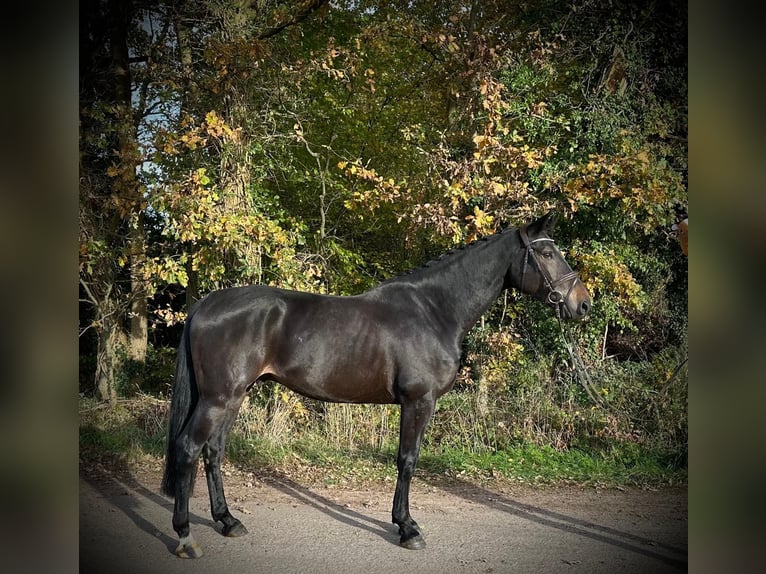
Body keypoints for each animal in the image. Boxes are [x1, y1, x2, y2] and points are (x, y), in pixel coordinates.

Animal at [161, 211, 591, 558]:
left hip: (234, 397)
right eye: (547, 254)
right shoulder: (419, 401)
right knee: (188, 449)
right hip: (219, 398)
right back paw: (185, 537)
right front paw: (407, 528)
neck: (434, 311)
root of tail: (206, 304)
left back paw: (228, 521)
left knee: (213, 452)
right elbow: (407, 460)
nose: (582, 304)